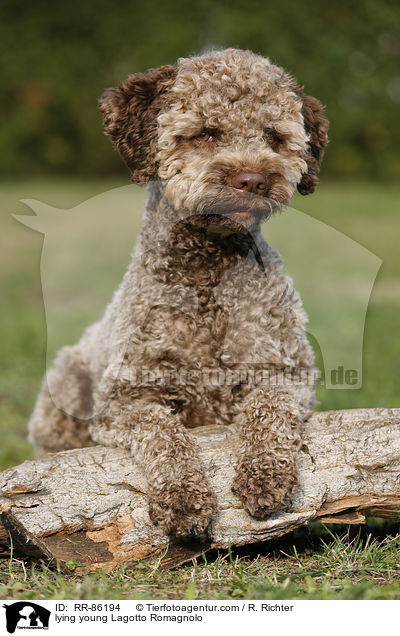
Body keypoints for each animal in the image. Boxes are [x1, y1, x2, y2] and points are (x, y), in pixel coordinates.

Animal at [28, 48, 328, 536]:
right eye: (206, 132)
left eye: (274, 137)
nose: (254, 179)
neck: (208, 276)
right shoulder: (124, 399)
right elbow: (163, 433)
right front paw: (183, 495)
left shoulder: (286, 372)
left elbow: (267, 410)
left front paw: (265, 472)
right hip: (65, 391)